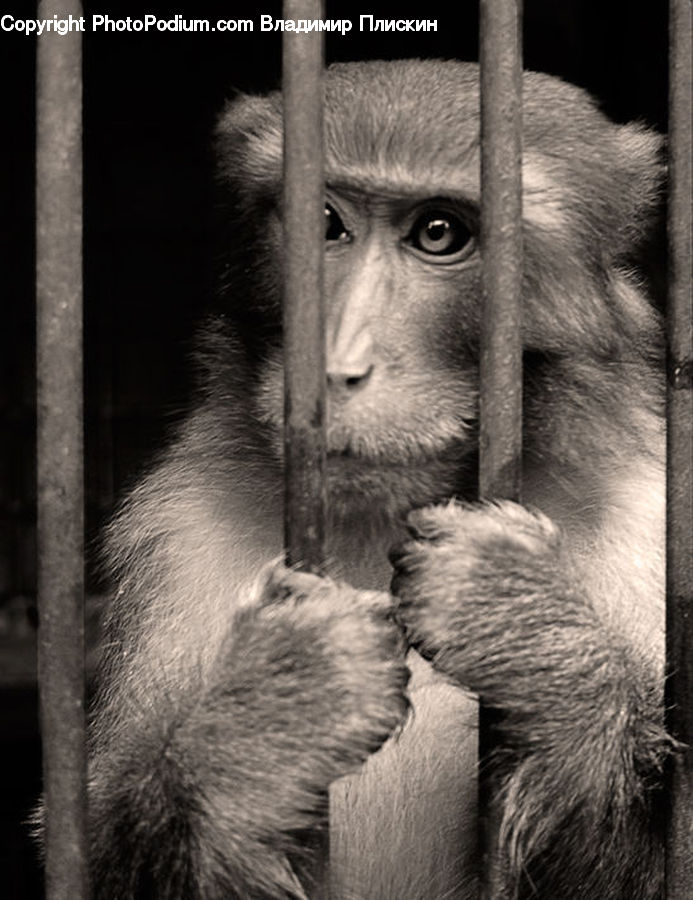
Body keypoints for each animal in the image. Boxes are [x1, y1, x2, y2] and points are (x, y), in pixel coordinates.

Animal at [83, 59, 673, 899]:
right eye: (325, 223)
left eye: (438, 233)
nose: (334, 367)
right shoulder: (180, 528)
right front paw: (271, 713)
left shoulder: (647, 522)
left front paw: (530, 634)